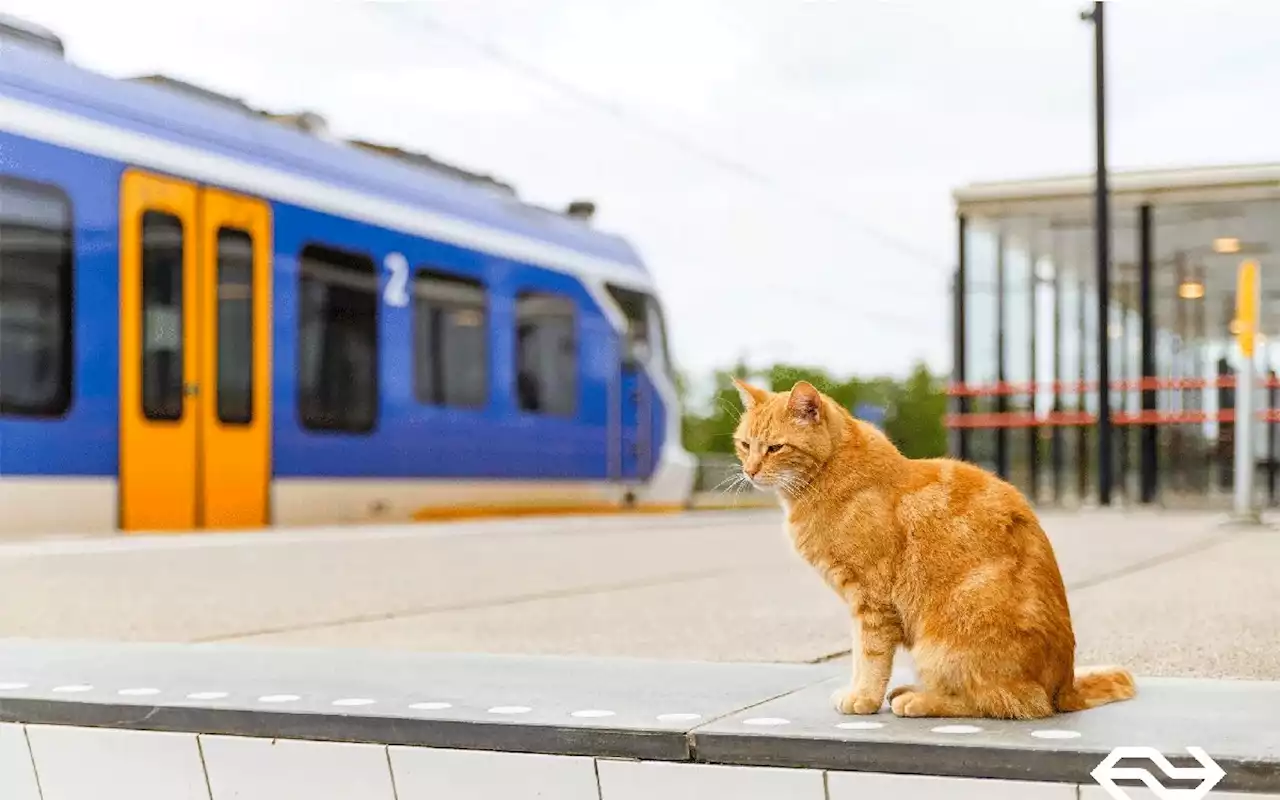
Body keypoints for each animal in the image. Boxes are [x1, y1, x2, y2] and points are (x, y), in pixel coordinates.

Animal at [737, 376, 1136, 721]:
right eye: (744, 444)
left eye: (775, 447)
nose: (750, 471)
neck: (829, 473)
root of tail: (1065, 686)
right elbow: (861, 656)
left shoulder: (871, 600)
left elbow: (869, 656)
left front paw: (862, 698)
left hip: (943, 645)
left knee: (1010, 702)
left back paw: (918, 699)